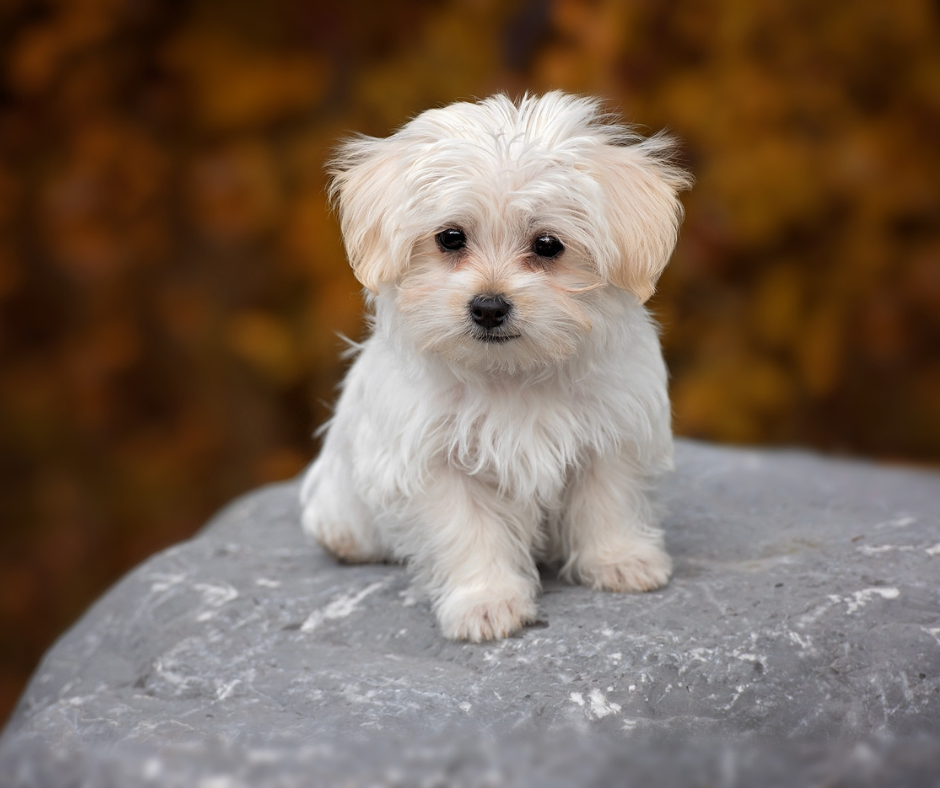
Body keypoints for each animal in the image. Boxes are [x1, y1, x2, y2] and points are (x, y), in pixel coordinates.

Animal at [302, 92, 692, 644]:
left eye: (548, 245)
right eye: (450, 238)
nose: (488, 307)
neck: (512, 374)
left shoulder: (611, 429)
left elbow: (607, 500)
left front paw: (619, 559)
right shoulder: (433, 461)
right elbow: (468, 531)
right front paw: (485, 600)